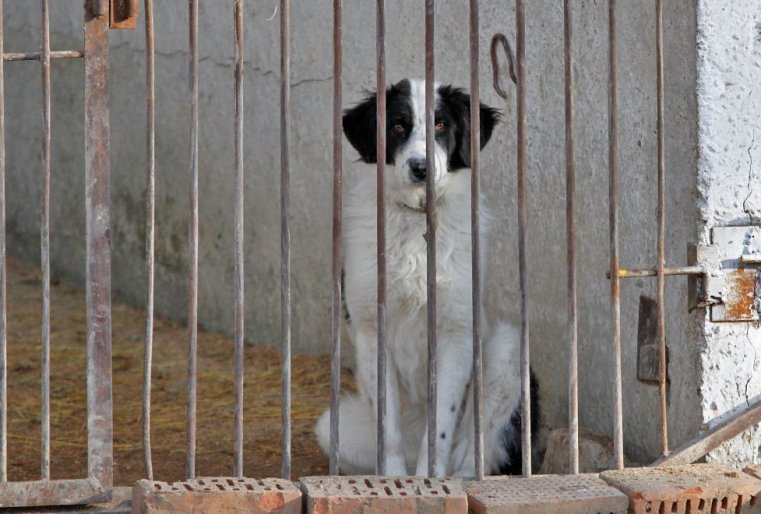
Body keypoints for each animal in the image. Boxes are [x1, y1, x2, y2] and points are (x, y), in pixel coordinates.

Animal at [316, 78, 540, 474]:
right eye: (397, 126)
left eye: (440, 125)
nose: (420, 168)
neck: (416, 220)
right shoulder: (371, 332)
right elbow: (387, 431)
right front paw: (396, 480)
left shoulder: (456, 334)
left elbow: (441, 429)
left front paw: (429, 480)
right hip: (332, 427)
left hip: (507, 349)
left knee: (476, 452)